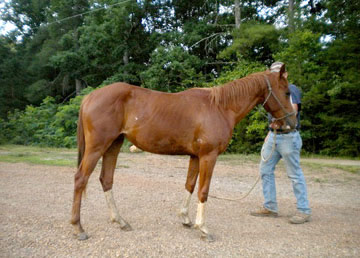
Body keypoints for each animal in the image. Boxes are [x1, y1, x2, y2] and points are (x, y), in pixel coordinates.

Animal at [70, 63, 296, 241]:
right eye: (286, 92)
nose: (292, 123)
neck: (220, 108)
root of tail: (89, 97)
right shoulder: (208, 156)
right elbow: (203, 190)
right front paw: (203, 228)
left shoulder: (195, 156)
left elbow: (190, 184)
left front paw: (186, 219)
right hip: (98, 146)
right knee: (81, 179)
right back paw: (78, 228)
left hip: (113, 145)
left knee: (106, 179)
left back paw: (120, 221)